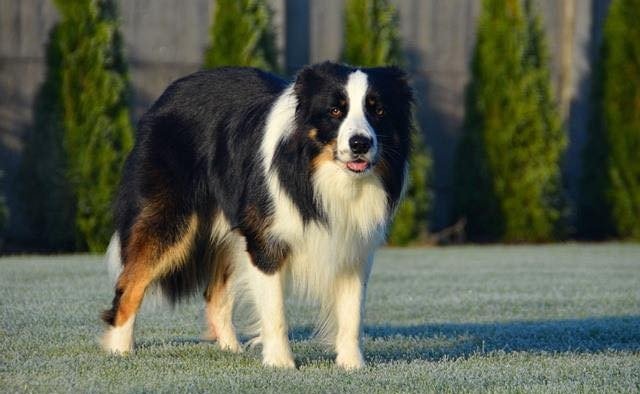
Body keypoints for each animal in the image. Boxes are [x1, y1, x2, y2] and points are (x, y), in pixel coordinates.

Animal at [99, 61, 410, 370]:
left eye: (378, 110)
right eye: (335, 110)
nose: (360, 143)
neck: (321, 174)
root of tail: (168, 93)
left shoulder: (354, 246)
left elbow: (352, 312)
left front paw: (352, 365)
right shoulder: (266, 240)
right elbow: (275, 311)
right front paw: (280, 363)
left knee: (214, 294)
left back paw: (231, 349)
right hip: (170, 220)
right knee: (129, 283)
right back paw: (119, 349)